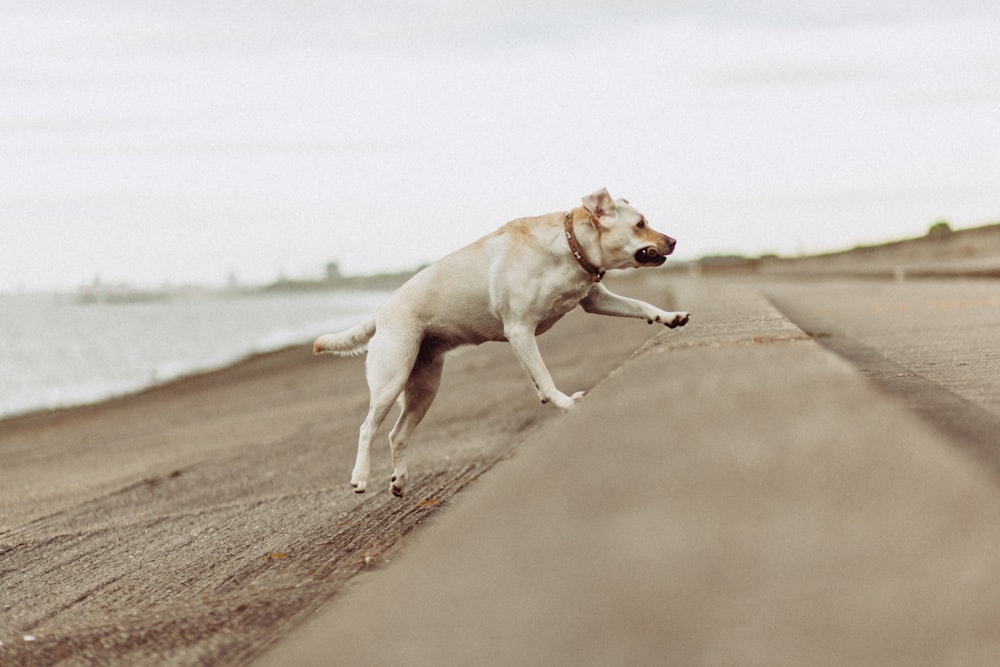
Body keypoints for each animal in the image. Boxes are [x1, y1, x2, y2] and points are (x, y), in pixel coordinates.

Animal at [314, 188, 688, 496]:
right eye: (640, 224)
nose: (673, 241)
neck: (568, 247)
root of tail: (380, 311)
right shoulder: (520, 330)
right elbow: (545, 377)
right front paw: (564, 402)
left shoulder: (594, 300)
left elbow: (640, 306)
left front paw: (669, 316)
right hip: (391, 380)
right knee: (367, 428)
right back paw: (360, 477)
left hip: (424, 388)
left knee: (397, 435)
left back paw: (400, 481)